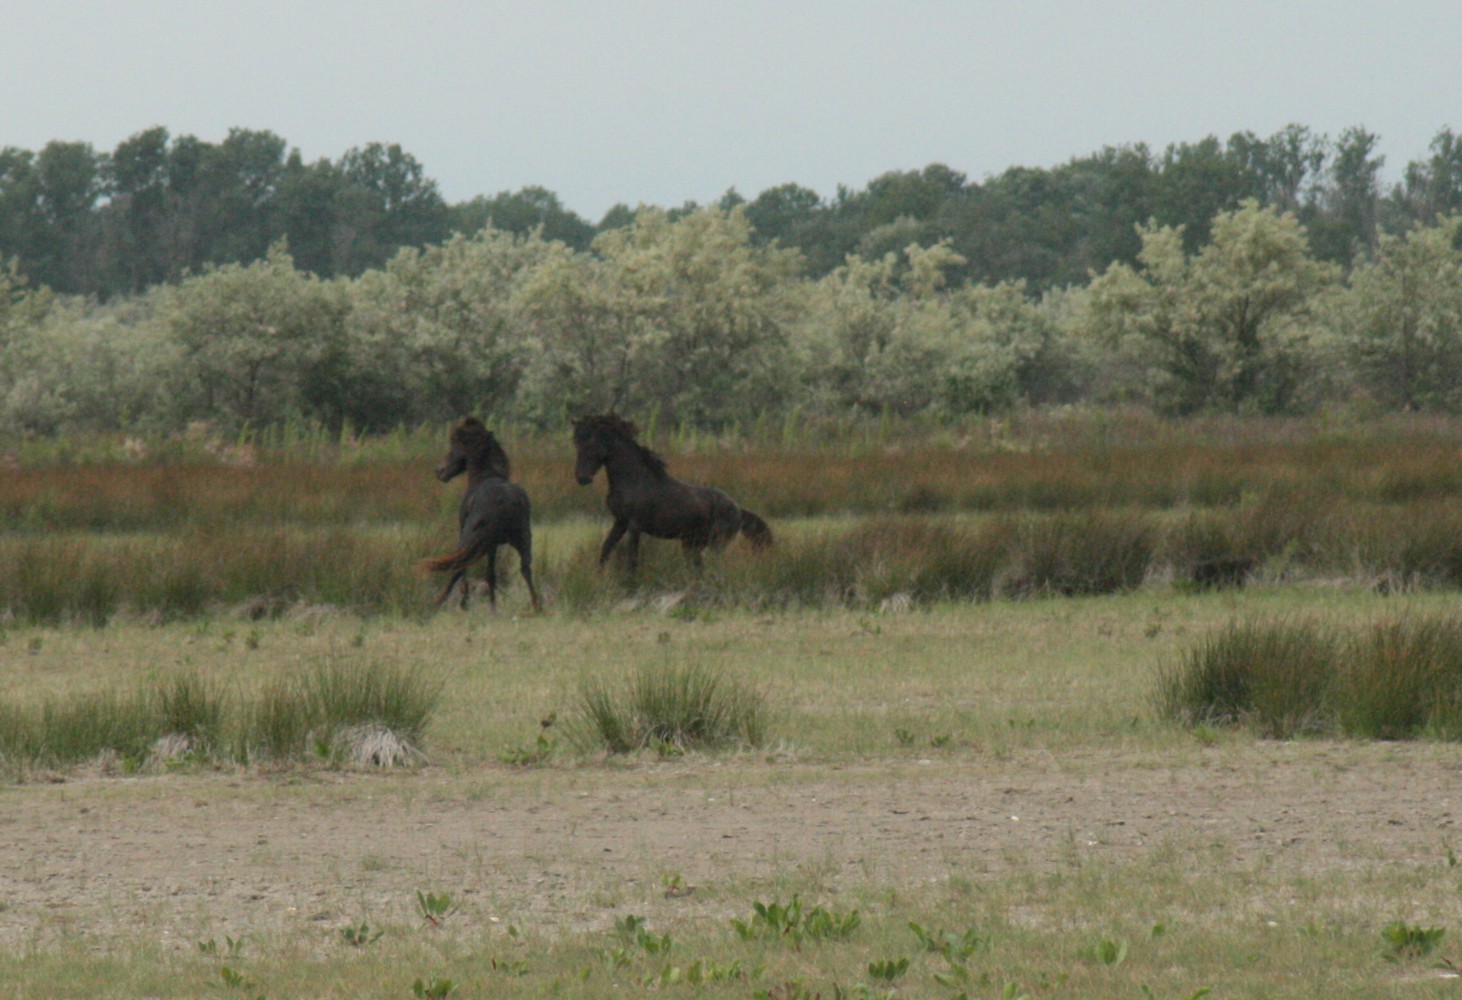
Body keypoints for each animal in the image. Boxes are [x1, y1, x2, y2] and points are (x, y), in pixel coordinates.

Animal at [418, 417, 542, 611]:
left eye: (456, 442)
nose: (439, 471)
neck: (484, 476)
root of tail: (505, 502)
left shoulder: (470, 535)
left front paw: (473, 603)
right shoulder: (493, 544)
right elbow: (490, 574)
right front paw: (492, 607)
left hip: (471, 539)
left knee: (459, 565)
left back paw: (445, 602)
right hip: (522, 539)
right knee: (525, 568)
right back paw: (536, 606)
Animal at [571, 414, 772, 573]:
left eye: (591, 442)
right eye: (576, 443)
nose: (582, 478)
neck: (633, 480)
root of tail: (739, 509)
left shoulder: (635, 525)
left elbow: (632, 558)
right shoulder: (620, 522)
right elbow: (605, 549)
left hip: (716, 543)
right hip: (692, 545)